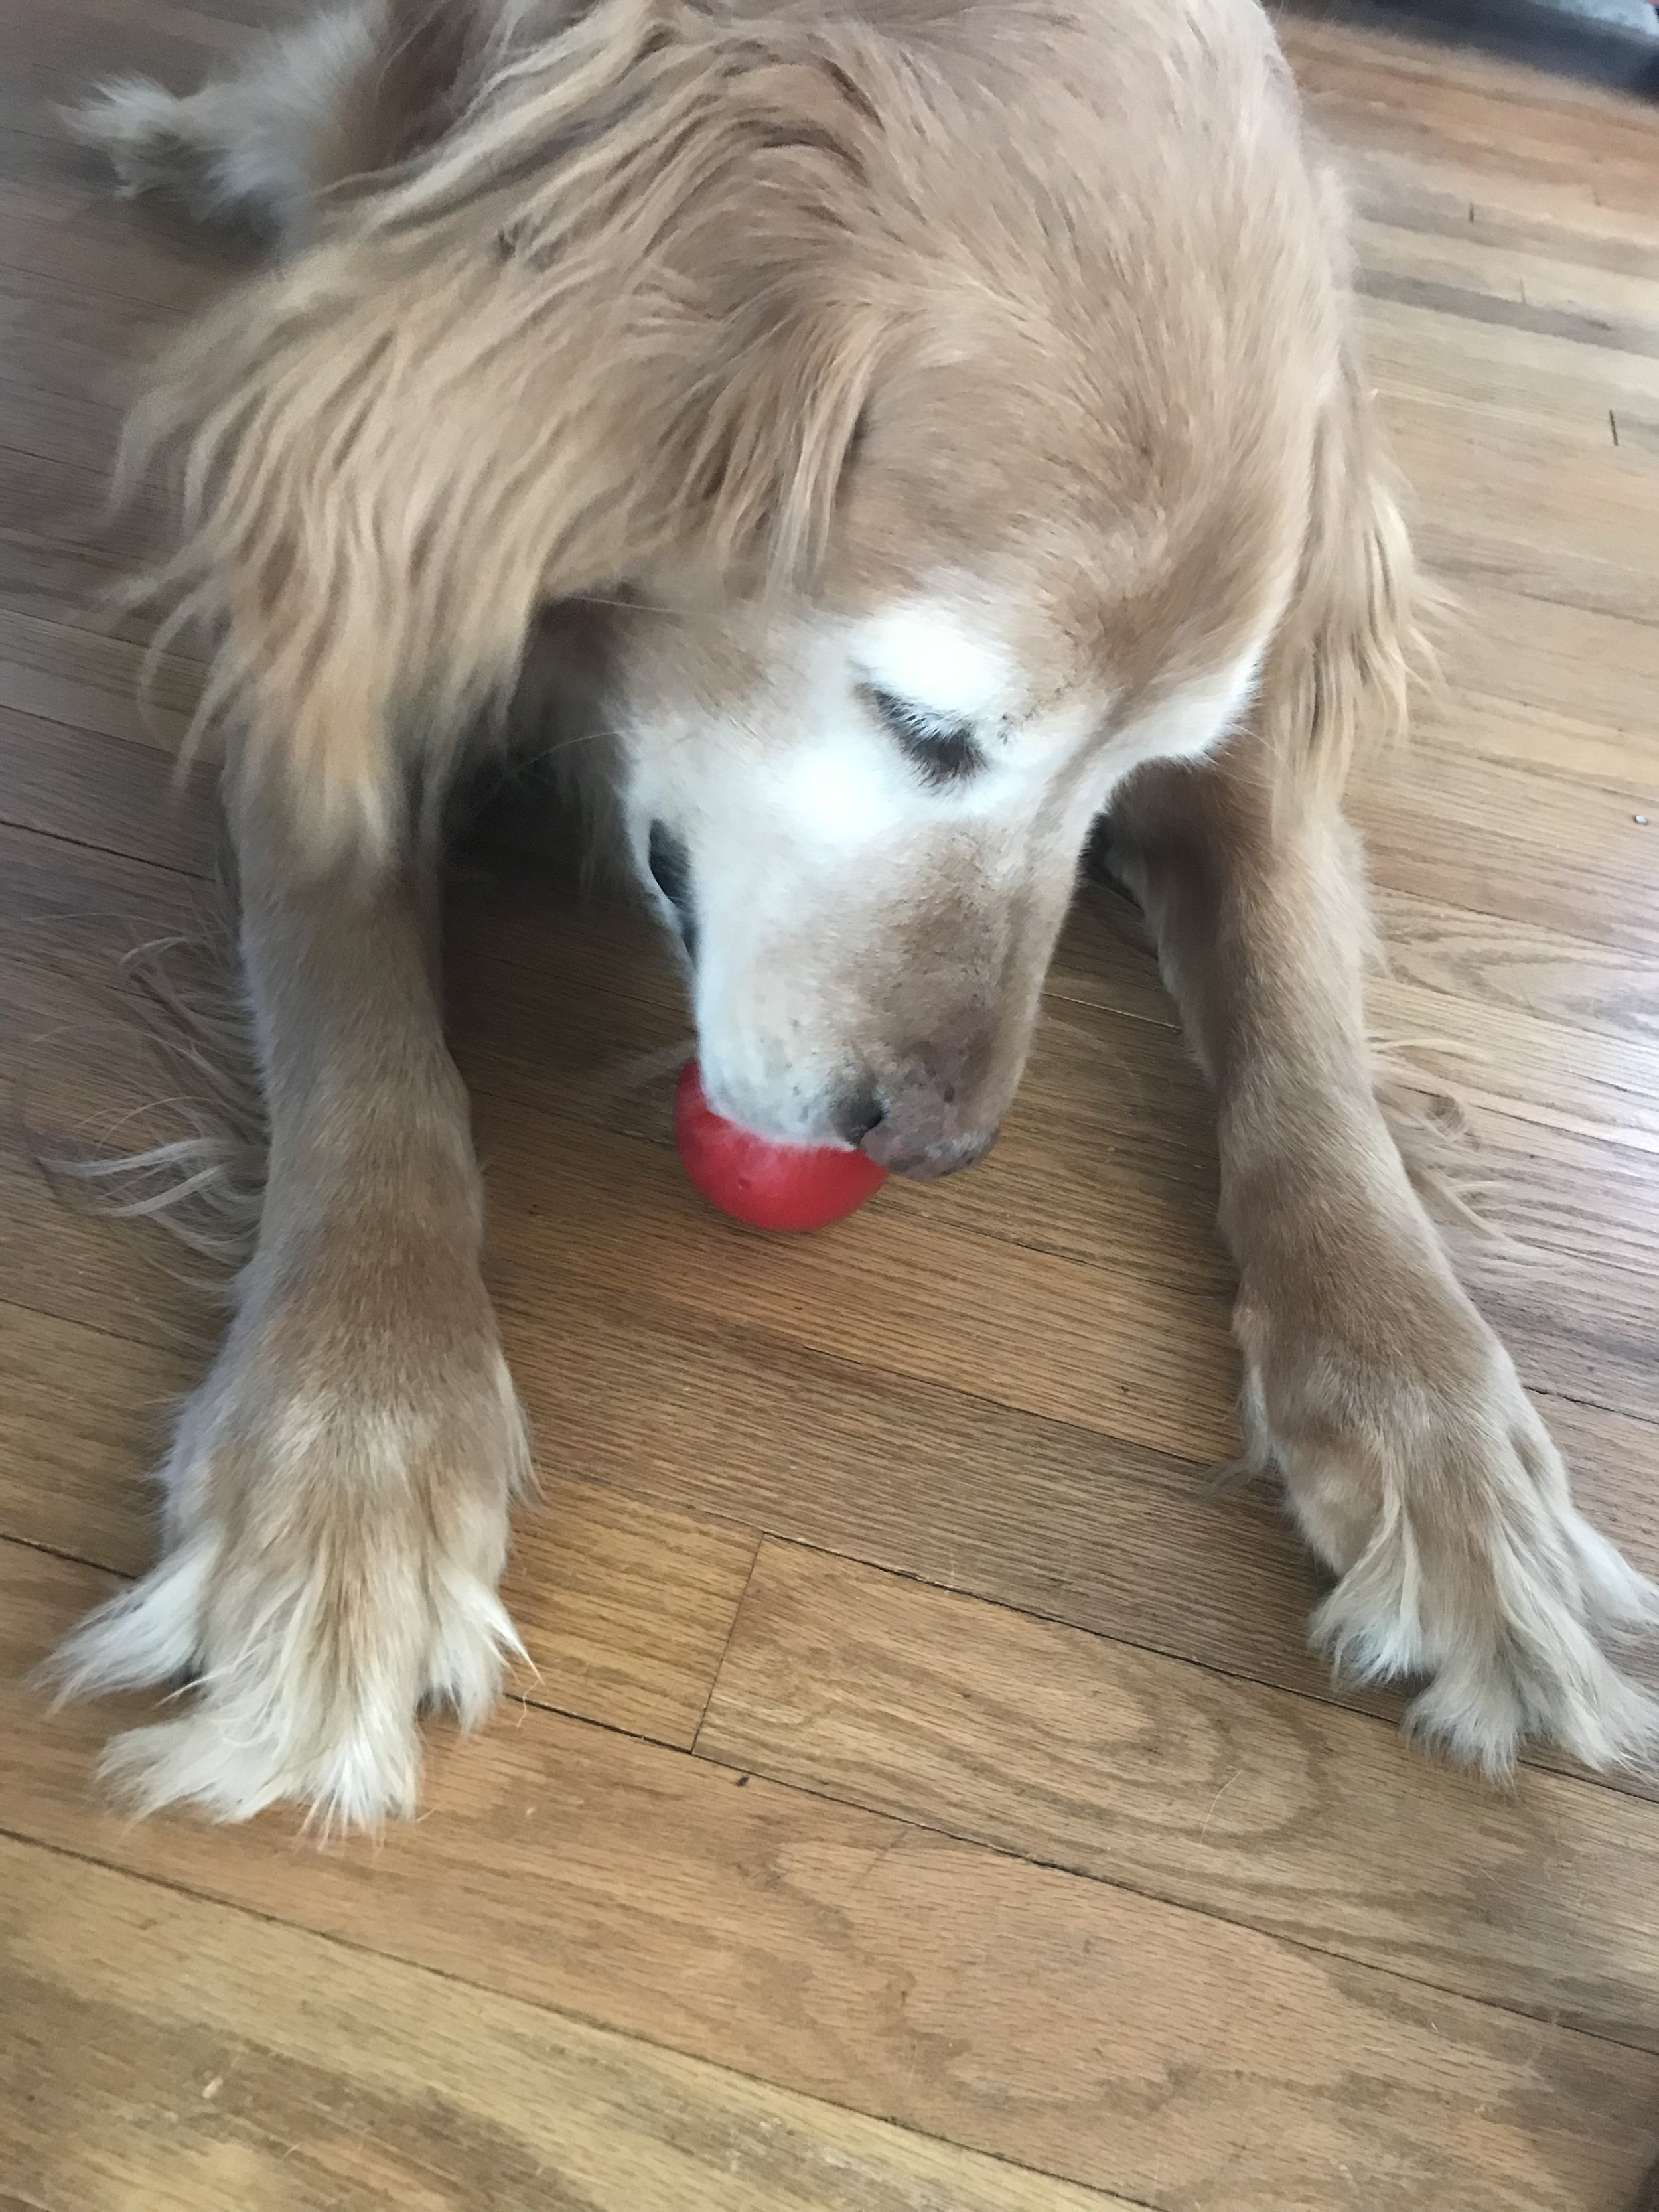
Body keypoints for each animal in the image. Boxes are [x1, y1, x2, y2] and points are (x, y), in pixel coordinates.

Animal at [52, 0, 1659, 1822]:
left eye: (1135, 766)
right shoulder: (340, 591)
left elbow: (1310, 1063)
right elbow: (359, 1038)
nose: (934, 1148)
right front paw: (346, 1461)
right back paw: (163, 142)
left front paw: (1440, 1445)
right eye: (926, 724)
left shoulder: (1263, 745)